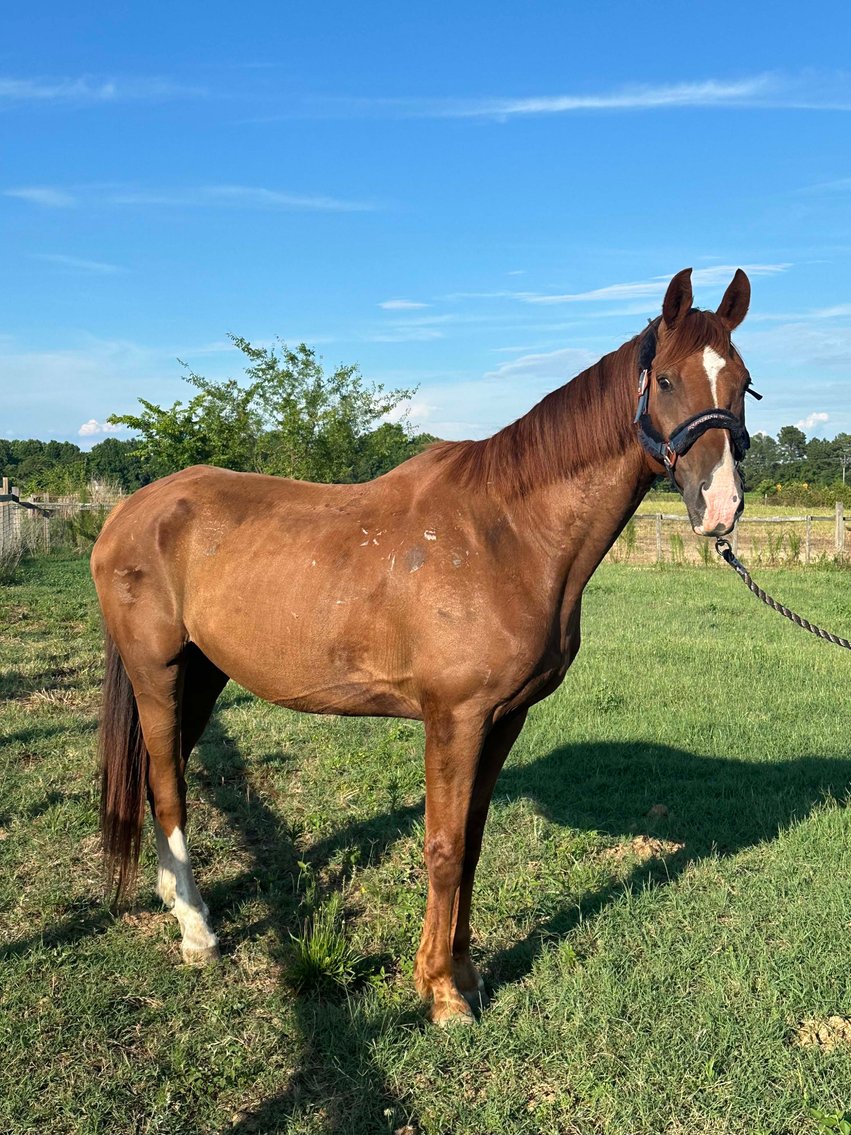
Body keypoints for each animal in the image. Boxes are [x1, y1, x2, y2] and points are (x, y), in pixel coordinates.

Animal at [92, 266, 754, 1025]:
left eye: (742, 381)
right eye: (667, 380)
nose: (720, 505)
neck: (505, 533)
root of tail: (129, 510)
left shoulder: (503, 719)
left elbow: (470, 844)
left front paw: (465, 973)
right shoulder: (454, 718)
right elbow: (443, 846)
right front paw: (440, 992)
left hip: (202, 675)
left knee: (160, 774)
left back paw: (176, 901)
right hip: (158, 672)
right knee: (167, 786)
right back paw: (197, 932)